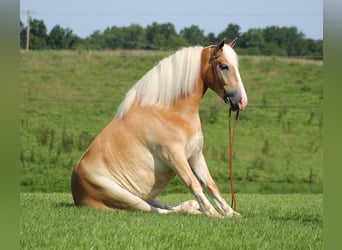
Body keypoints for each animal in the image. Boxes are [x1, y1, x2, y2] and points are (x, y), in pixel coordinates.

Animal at [72, 38, 247, 218]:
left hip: (146, 196)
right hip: (128, 199)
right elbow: (193, 183)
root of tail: (76, 192)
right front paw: (214, 214)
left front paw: (232, 213)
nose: (241, 101)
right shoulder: (175, 157)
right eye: (223, 66)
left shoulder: (196, 156)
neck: (169, 112)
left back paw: (193, 206)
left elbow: (210, 184)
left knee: (167, 207)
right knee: (160, 211)